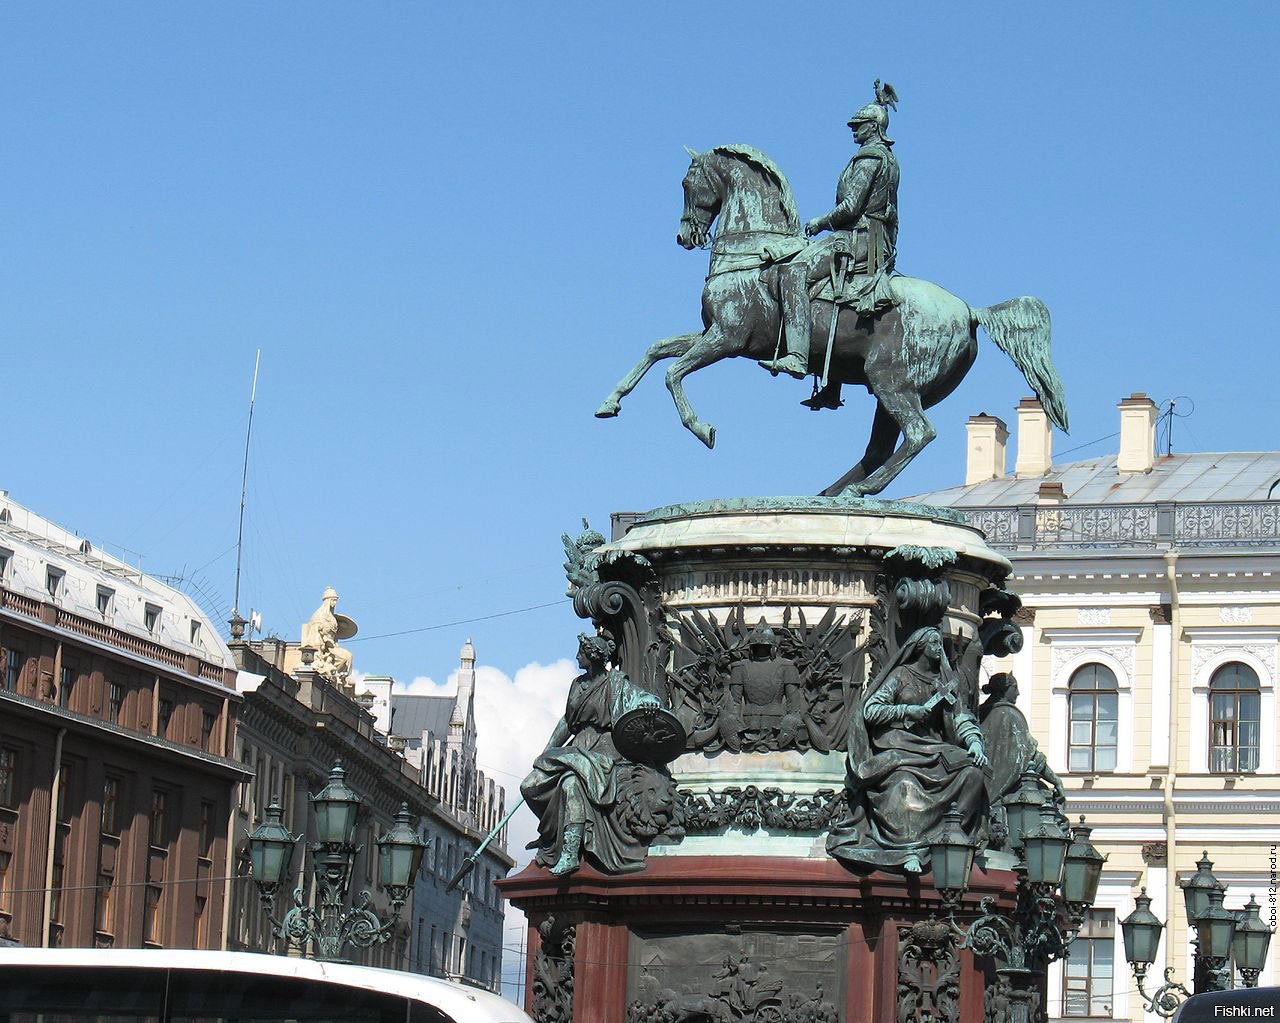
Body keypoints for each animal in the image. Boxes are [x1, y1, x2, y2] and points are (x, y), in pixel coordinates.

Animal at [599, 145, 1070, 496]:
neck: (753, 255)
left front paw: (701, 428)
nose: (685, 236)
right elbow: (656, 350)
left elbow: (673, 373)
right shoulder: (711, 334)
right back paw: (833, 493)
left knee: (919, 434)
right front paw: (610, 402)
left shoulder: (727, 339)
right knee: (882, 448)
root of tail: (969, 311)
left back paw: (860, 490)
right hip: (891, 389)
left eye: (686, 182)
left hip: (891, 382)